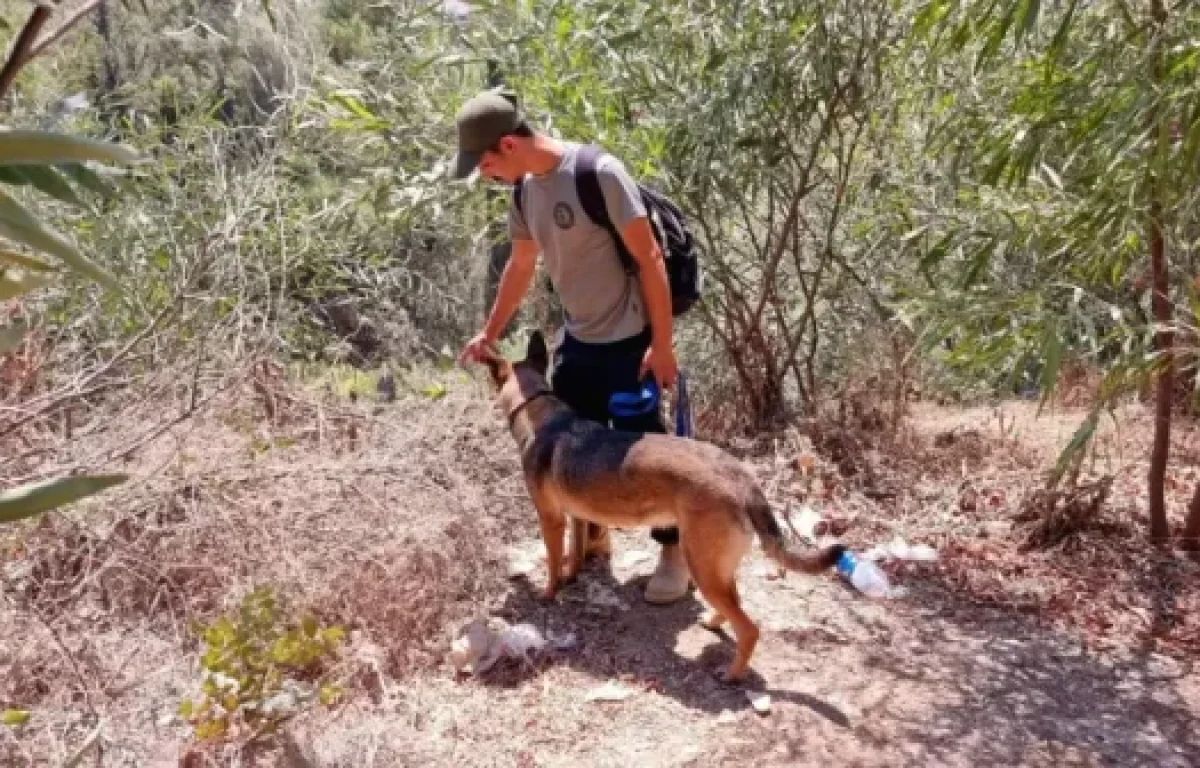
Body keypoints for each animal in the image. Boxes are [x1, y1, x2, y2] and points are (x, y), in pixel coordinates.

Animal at [477, 331, 844, 676]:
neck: (541, 414)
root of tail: (743, 479)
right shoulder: (576, 517)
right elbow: (575, 552)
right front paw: (571, 575)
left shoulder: (550, 519)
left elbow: (553, 562)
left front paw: (549, 593)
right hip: (717, 567)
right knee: (735, 605)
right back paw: (714, 624)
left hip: (702, 566)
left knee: (750, 629)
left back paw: (732, 674)